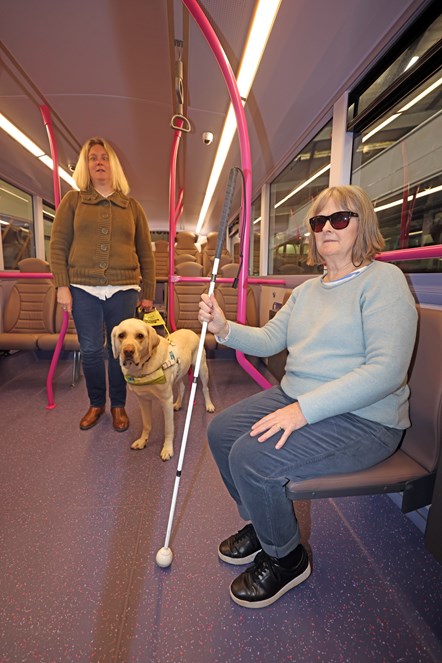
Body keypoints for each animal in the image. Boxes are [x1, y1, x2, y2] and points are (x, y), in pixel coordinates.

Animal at [110, 320, 214, 460]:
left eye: (140, 336)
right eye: (121, 335)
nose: (128, 351)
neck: (143, 367)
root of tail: (189, 330)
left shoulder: (166, 401)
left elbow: (169, 429)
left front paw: (167, 449)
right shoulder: (143, 400)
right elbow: (147, 424)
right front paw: (142, 441)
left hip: (202, 369)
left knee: (205, 389)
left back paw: (209, 405)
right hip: (179, 374)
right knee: (182, 387)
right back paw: (178, 404)